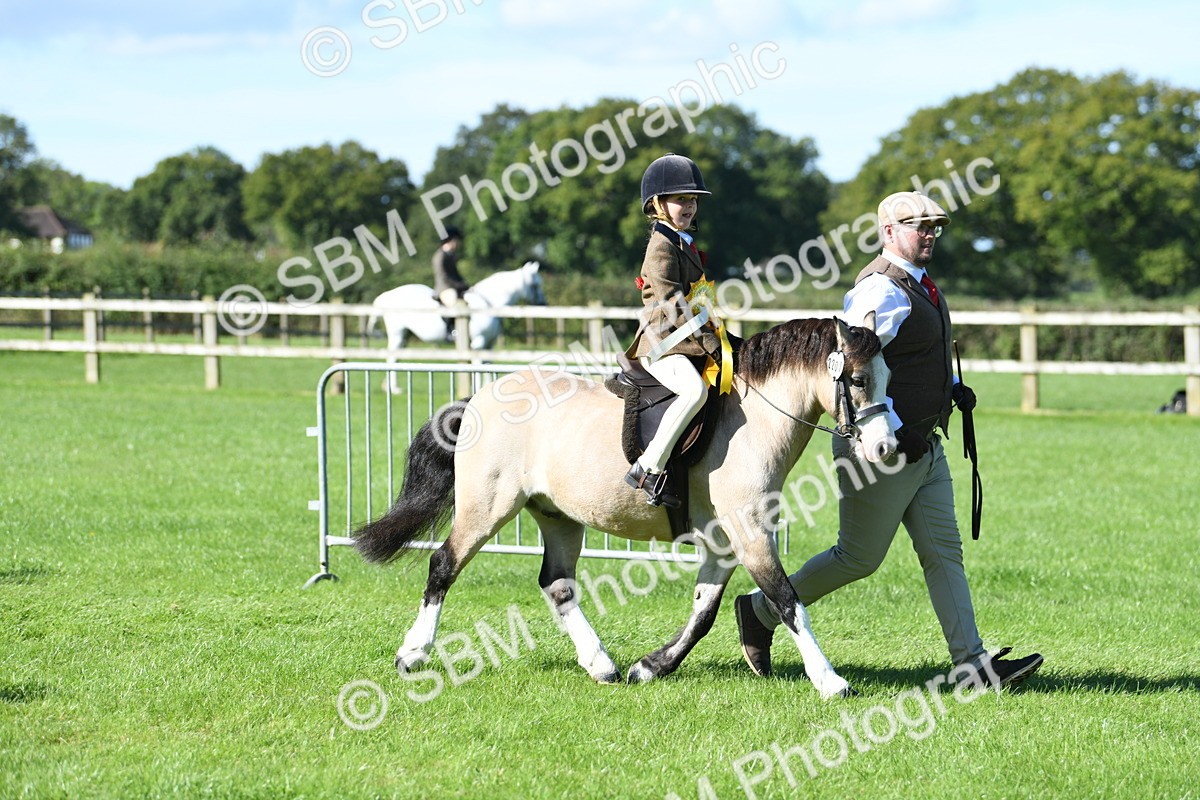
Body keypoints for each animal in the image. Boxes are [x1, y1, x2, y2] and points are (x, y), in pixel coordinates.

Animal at [353, 315, 895, 699]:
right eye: (858, 380)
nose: (887, 447)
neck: (754, 418)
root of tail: (480, 397)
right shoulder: (748, 533)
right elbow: (787, 600)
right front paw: (830, 681)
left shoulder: (724, 542)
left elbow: (704, 612)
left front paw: (650, 667)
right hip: (487, 508)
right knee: (443, 565)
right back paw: (413, 653)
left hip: (558, 517)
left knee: (557, 584)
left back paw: (602, 665)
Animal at [369, 260, 546, 392]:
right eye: (535, 284)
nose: (543, 303)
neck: (488, 304)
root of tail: (387, 295)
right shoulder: (479, 342)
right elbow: (478, 365)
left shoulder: (488, 344)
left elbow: (488, 365)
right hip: (397, 333)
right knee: (391, 356)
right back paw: (393, 388)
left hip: (405, 334)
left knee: (396, 357)